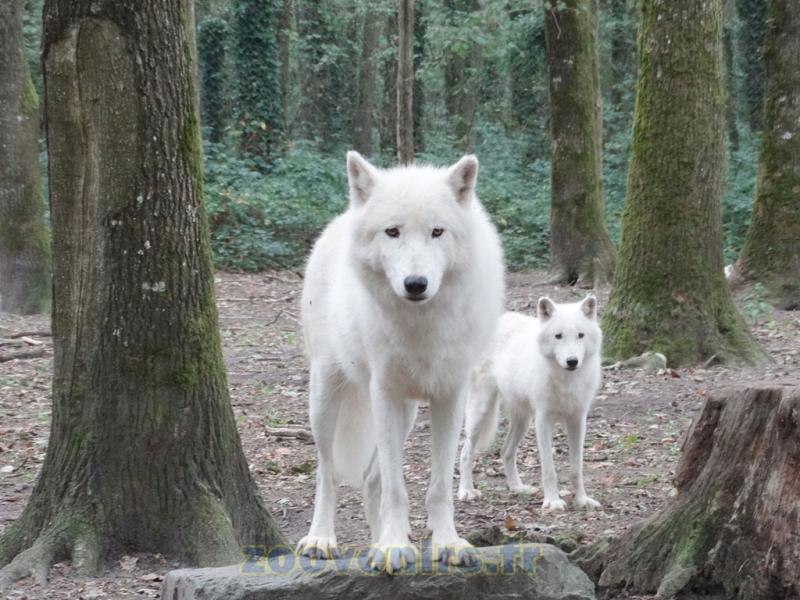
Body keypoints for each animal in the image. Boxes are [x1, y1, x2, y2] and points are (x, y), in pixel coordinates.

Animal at [297, 151, 505, 573]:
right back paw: (321, 539)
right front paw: (393, 547)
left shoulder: (450, 396)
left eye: (437, 232)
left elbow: (438, 486)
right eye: (392, 232)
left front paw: (445, 543)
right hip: (326, 397)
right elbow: (397, 487)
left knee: (369, 479)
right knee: (327, 473)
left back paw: (378, 538)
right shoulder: (385, 393)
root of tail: (340, 219)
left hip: (407, 414)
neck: (421, 326)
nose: (415, 283)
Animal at [458, 296, 602, 511]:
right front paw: (553, 502)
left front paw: (582, 500)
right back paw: (466, 491)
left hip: (522, 421)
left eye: (580, 335)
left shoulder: (578, 420)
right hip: (480, 411)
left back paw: (518, 488)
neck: (566, 380)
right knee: (465, 452)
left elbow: (577, 468)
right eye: (558, 336)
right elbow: (549, 469)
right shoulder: (543, 421)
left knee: (505, 451)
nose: (572, 361)